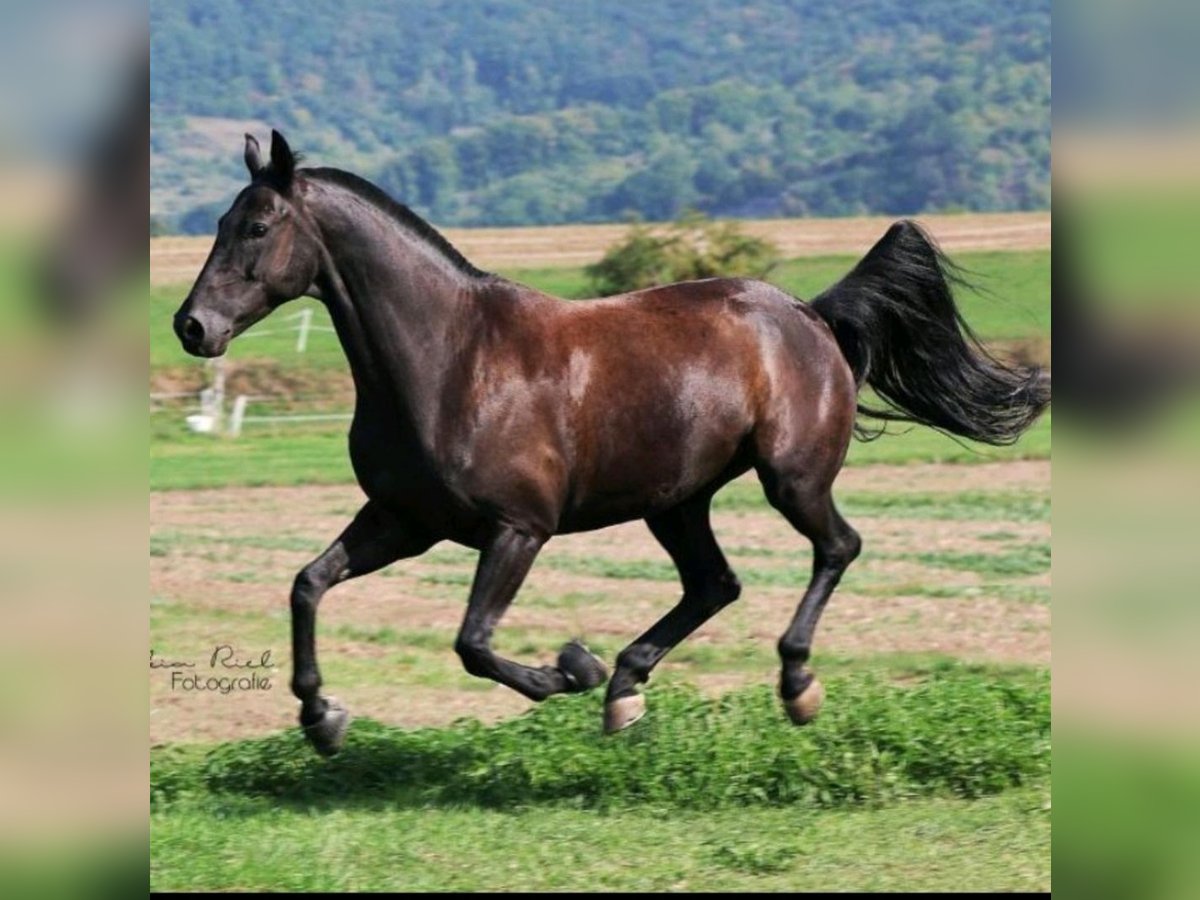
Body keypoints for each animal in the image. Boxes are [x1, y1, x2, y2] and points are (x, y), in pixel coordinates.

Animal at [171, 130, 1051, 758]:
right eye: (219, 222)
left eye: (257, 225)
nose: (192, 326)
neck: (451, 358)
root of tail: (810, 314)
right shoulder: (402, 521)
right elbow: (308, 584)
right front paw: (322, 717)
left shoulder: (517, 529)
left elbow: (473, 643)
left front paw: (570, 668)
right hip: (677, 501)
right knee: (714, 584)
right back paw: (627, 691)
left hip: (791, 479)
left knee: (837, 547)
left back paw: (790, 682)